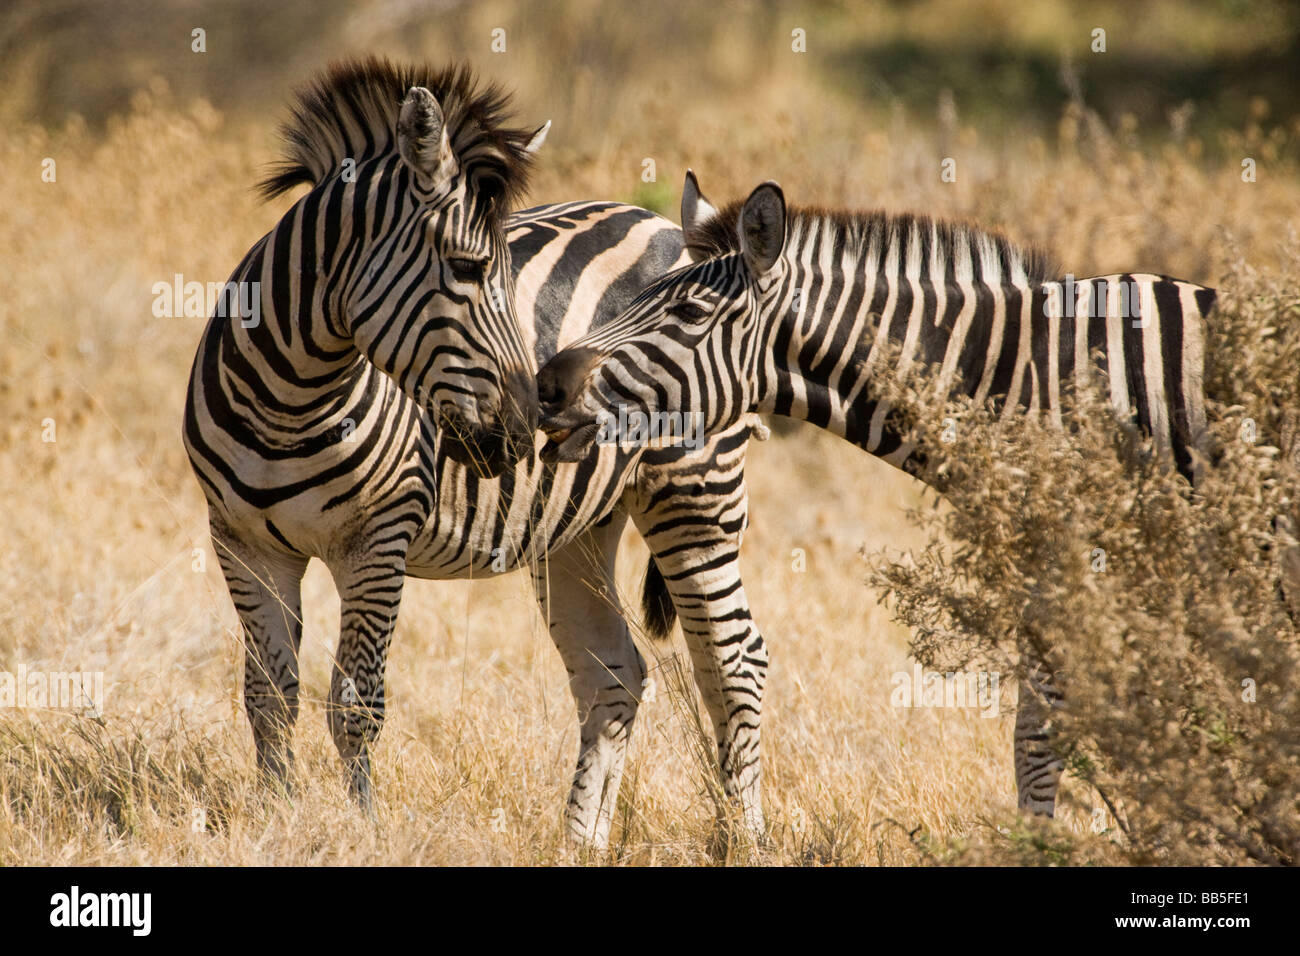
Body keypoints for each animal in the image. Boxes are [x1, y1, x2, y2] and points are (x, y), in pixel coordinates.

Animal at [178, 57, 759, 842]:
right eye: (467, 268)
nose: (526, 426)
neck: (288, 401)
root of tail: (667, 224)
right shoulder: (242, 542)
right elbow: (269, 698)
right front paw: (278, 821)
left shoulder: (378, 542)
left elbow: (358, 706)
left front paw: (364, 831)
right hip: (576, 526)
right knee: (613, 673)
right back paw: (580, 842)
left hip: (696, 495)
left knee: (735, 669)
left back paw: (746, 837)